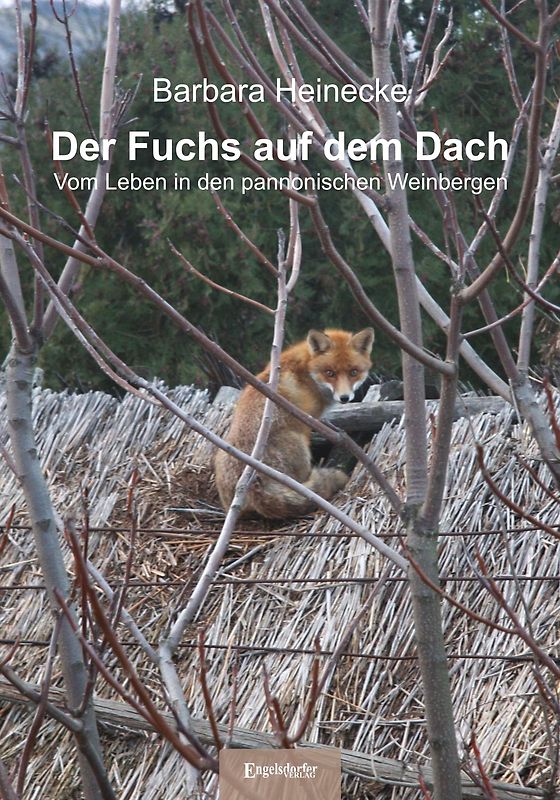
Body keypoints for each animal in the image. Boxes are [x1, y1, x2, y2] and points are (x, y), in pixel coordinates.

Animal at [215, 327, 375, 519]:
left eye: (353, 372)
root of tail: (253, 483)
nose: (344, 398)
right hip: (299, 444)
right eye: (330, 373)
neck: (307, 371)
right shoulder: (307, 422)